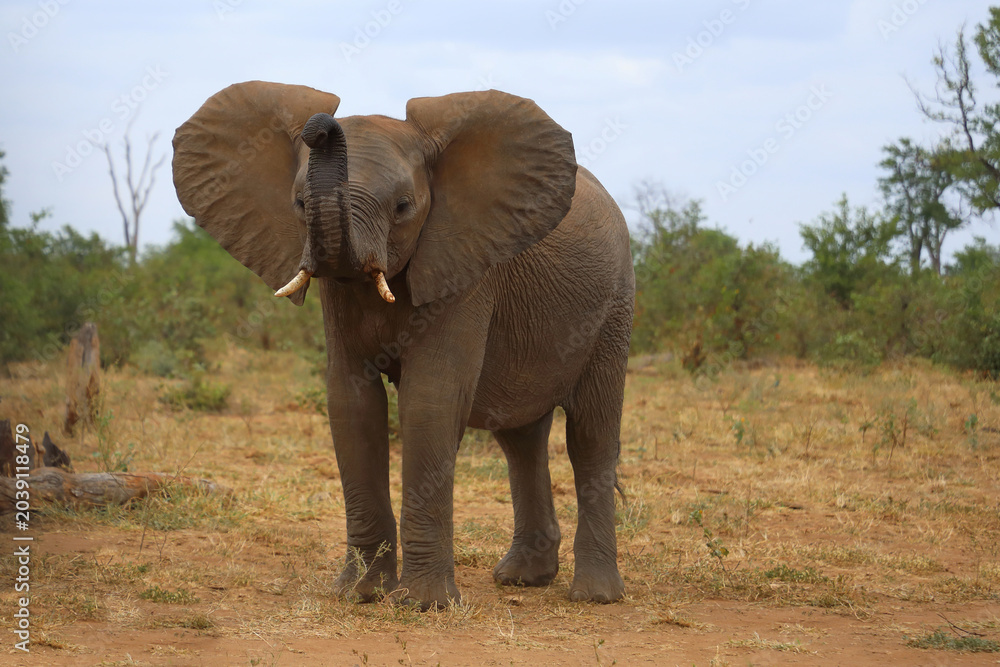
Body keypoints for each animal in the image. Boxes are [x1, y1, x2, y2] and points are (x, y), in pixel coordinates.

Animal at [172, 81, 634, 609]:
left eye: (403, 207)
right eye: (299, 205)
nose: (320, 126)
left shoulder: (464, 264)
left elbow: (430, 399)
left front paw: (423, 604)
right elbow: (351, 402)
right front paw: (359, 595)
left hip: (615, 306)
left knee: (591, 434)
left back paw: (595, 596)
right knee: (520, 438)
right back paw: (521, 579)